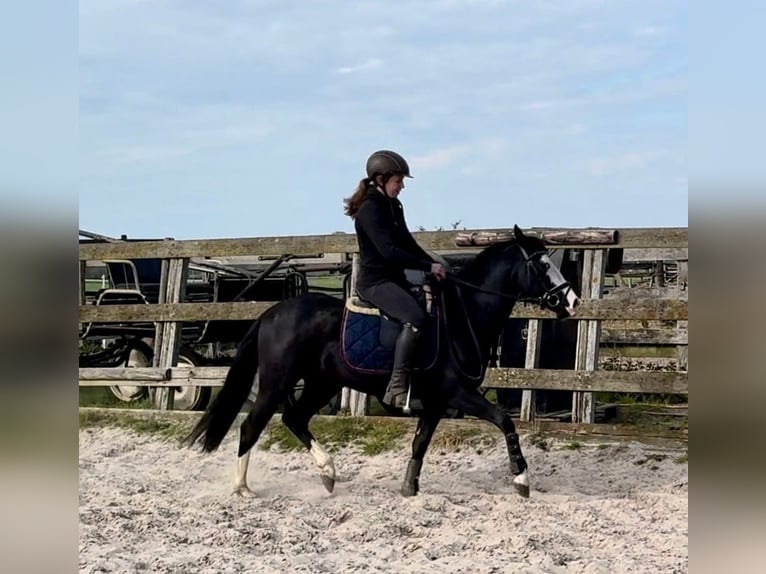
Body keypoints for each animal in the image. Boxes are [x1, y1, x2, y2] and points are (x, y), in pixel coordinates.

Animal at [184, 225, 580, 498]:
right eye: (542, 263)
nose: (572, 301)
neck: (462, 315)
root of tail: (271, 314)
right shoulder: (458, 394)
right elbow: (505, 421)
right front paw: (521, 479)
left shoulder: (436, 402)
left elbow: (420, 442)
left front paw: (410, 490)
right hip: (277, 382)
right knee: (252, 425)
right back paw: (242, 488)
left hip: (323, 382)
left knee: (293, 418)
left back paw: (328, 473)